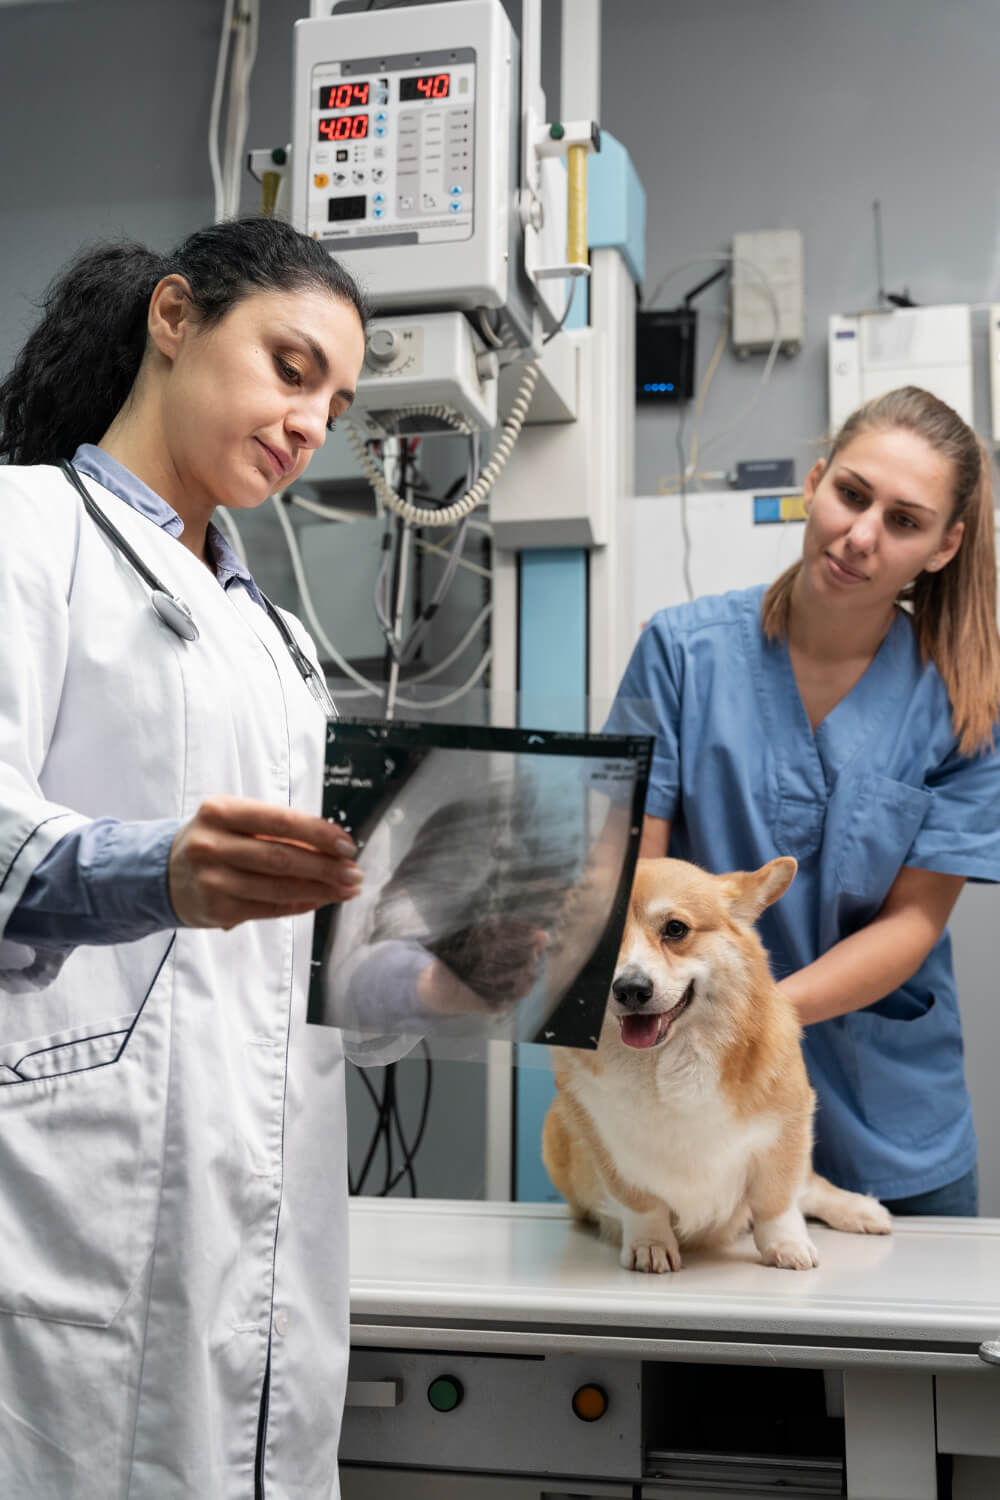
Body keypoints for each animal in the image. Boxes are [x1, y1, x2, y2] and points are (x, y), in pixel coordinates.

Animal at [542, 858, 893, 1266]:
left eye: (675, 929)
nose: (630, 989)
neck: (669, 1061)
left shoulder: (787, 1128)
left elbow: (777, 1200)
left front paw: (787, 1246)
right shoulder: (607, 1146)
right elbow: (643, 1204)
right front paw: (650, 1244)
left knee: (809, 1186)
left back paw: (862, 1211)